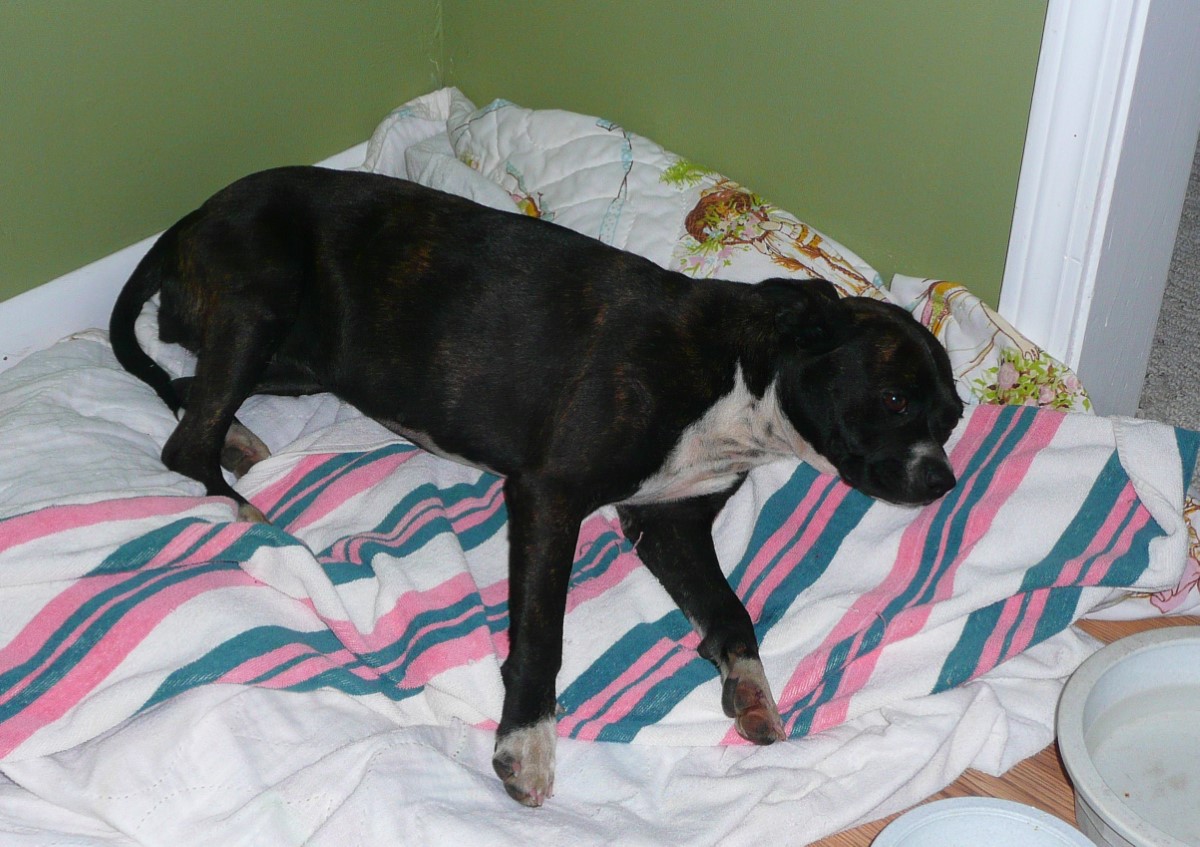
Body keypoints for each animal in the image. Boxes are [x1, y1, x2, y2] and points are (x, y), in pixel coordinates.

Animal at [108, 165, 960, 806]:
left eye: (951, 417)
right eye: (894, 400)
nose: (945, 480)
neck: (745, 376)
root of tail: (192, 217)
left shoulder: (670, 523)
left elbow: (732, 612)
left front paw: (753, 691)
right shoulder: (551, 496)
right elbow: (542, 636)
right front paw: (527, 743)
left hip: (309, 356)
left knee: (187, 387)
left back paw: (244, 450)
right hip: (262, 305)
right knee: (187, 440)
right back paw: (248, 514)